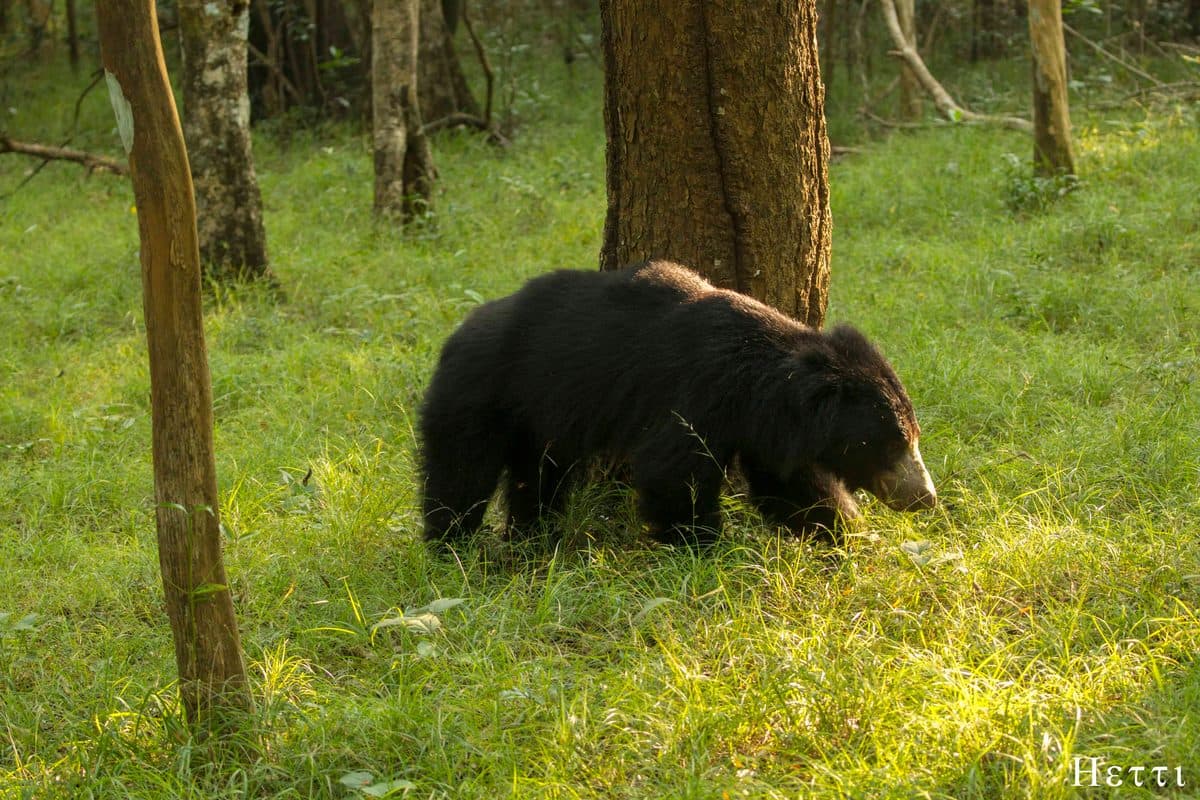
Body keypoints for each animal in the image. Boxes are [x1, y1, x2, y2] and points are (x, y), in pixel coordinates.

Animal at [418, 260, 936, 548]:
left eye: (912, 438)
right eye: (891, 443)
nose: (925, 498)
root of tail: (456, 334)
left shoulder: (764, 427)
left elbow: (787, 485)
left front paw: (843, 533)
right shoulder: (697, 394)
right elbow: (673, 469)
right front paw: (703, 546)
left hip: (538, 417)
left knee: (540, 477)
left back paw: (533, 536)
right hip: (479, 396)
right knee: (460, 472)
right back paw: (450, 543)